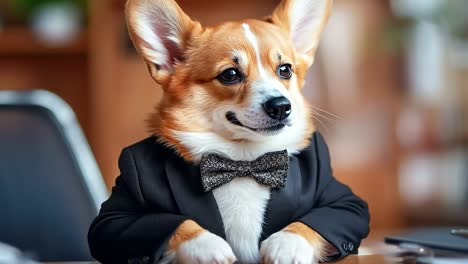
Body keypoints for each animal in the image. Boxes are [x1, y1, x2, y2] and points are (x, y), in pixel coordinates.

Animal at [123, 0, 336, 262]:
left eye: (285, 70)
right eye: (230, 74)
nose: (281, 106)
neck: (244, 161)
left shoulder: (341, 199)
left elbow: (313, 221)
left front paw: (287, 245)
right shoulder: (118, 215)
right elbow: (174, 224)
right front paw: (206, 246)